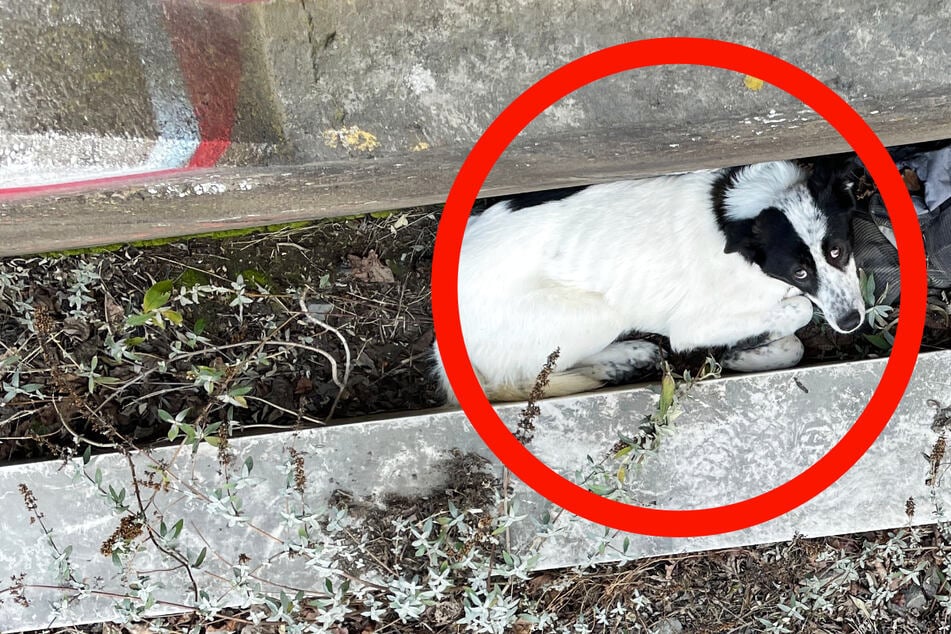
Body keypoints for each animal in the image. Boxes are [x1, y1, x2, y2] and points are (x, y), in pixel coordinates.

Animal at [436, 159, 868, 400]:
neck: (731, 216)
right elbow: (798, 310)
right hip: (599, 312)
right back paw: (620, 361)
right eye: (800, 270)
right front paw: (750, 346)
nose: (851, 322)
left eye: (837, 250)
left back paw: (630, 357)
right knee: (528, 376)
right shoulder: (692, 327)